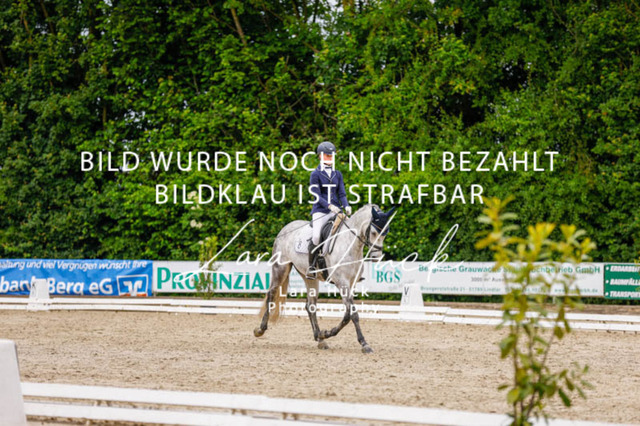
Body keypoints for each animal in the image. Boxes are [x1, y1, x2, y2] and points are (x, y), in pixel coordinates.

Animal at [253, 204, 396, 354]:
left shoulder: (351, 284)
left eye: (385, 233)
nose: (376, 257)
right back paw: (260, 330)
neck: (350, 245)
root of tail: (286, 227)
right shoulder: (342, 283)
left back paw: (320, 339)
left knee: (310, 305)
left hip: (309, 277)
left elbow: (347, 315)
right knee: (271, 295)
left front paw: (326, 333)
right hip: (280, 268)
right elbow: (353, 314)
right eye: (374, 232)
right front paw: (364, 344)